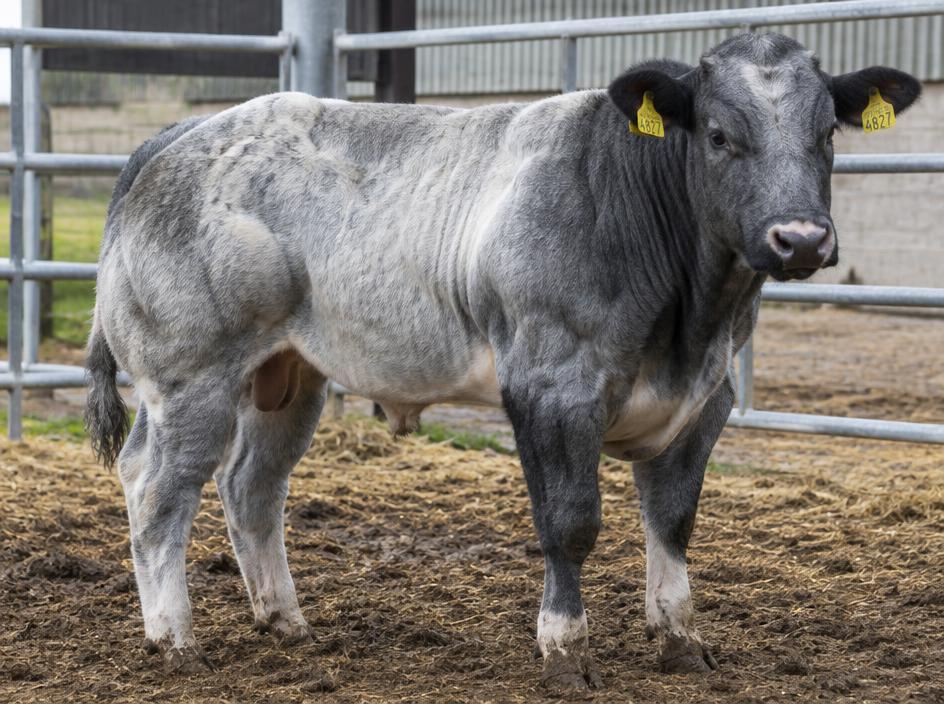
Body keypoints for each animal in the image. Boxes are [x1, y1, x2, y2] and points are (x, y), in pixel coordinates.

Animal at [85, 33, 920, 691]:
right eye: (718, 134)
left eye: (827, 132)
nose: (800, 239)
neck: (688, 319)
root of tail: (187, 131)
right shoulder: (553, 388)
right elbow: (570, 523)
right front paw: (565, 651)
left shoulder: (702, 400)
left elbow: (674, 520)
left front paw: (681, 638)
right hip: (188, 378)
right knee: (157, 490)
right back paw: (175, 639)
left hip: (288, 377)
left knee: (251, 487)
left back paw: (285, 621)